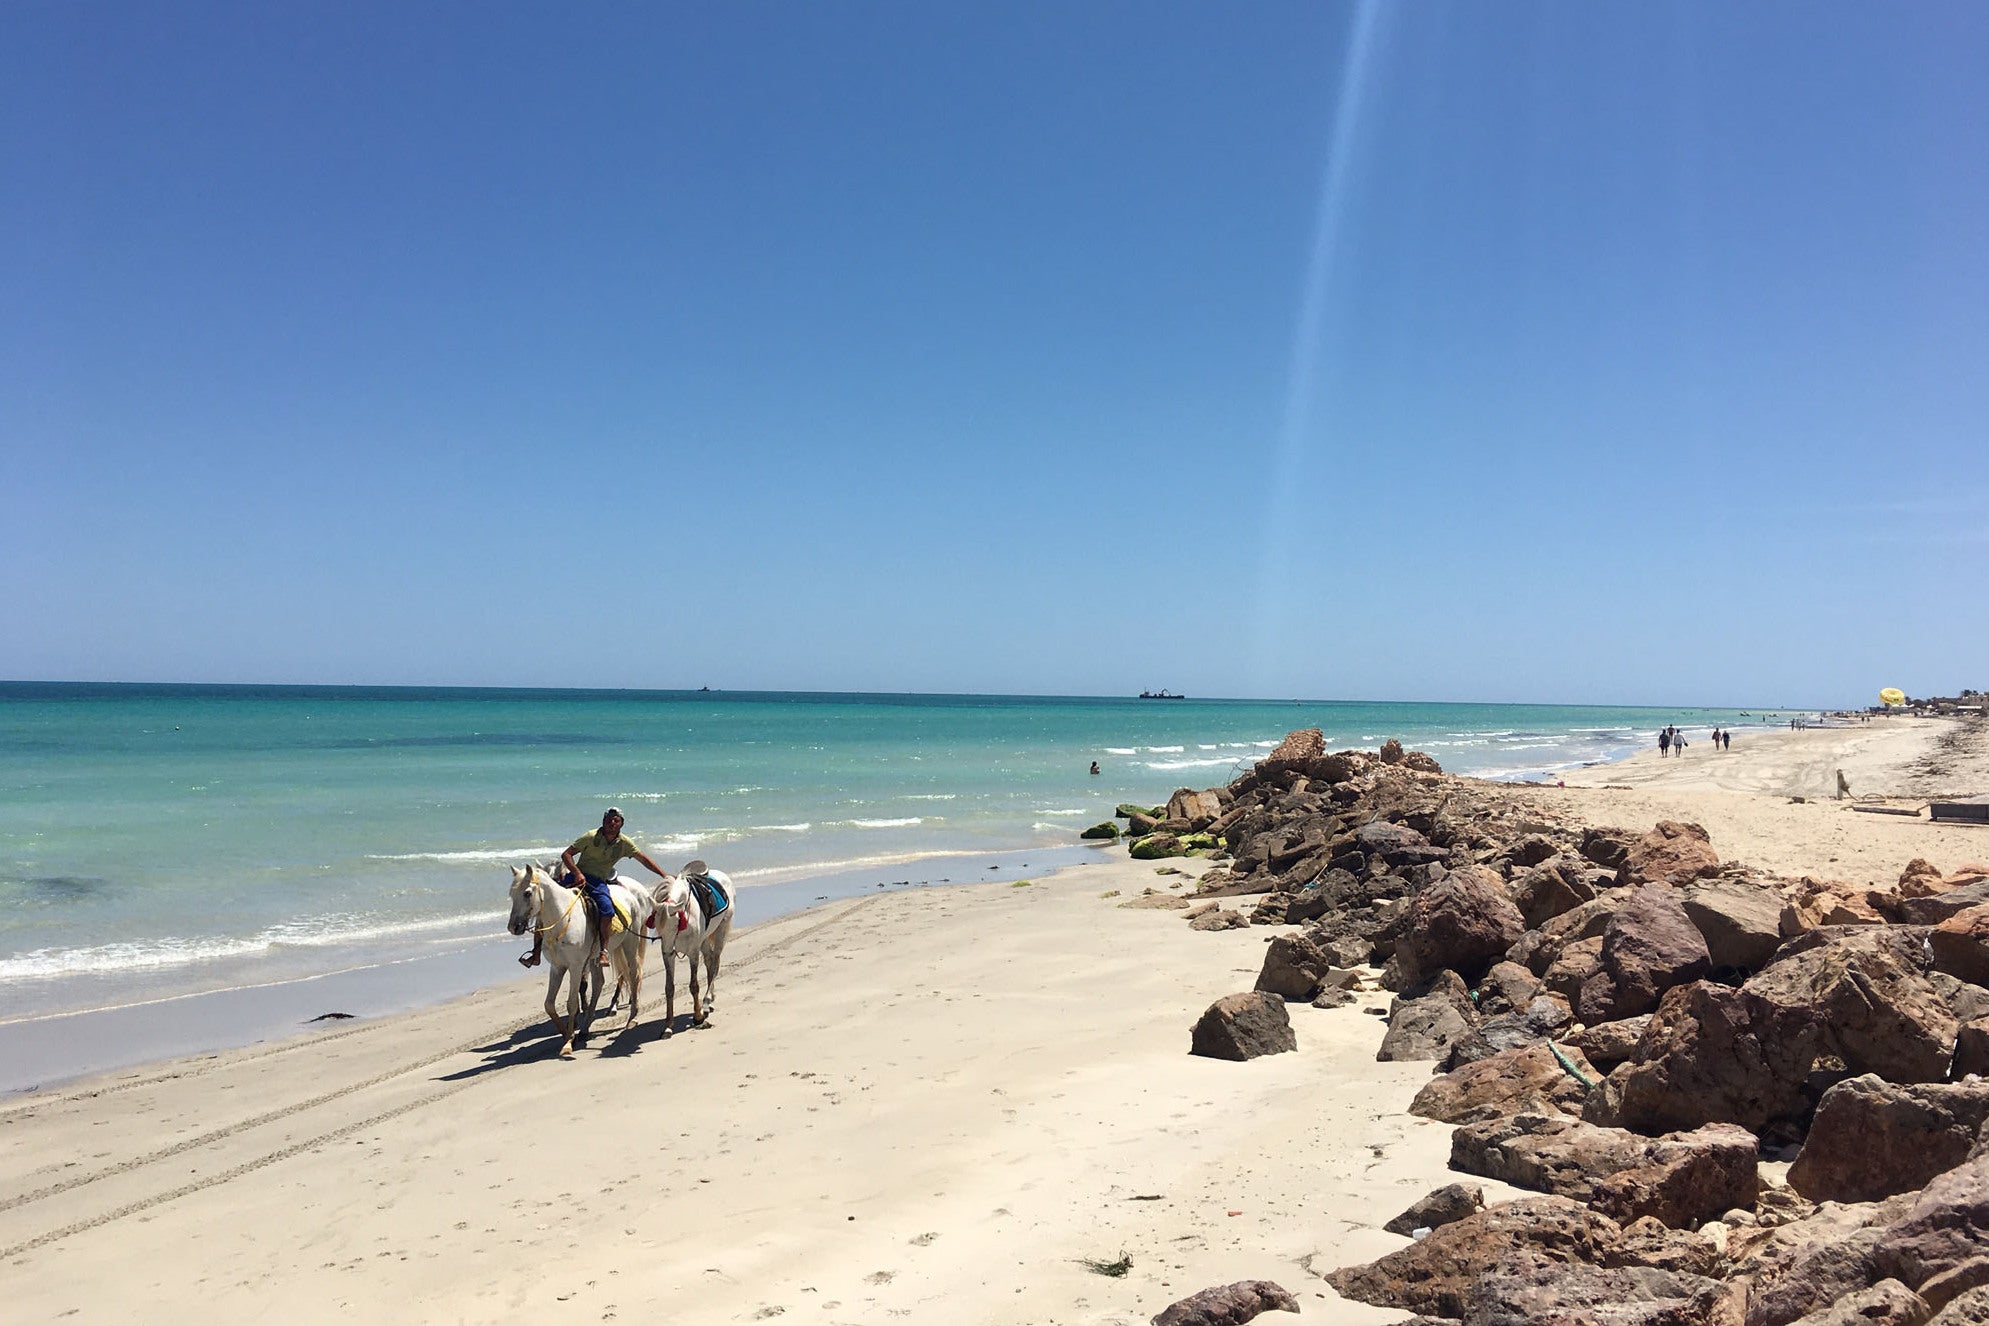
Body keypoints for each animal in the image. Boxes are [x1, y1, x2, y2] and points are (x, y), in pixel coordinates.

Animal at [505, 862, 652, 1057]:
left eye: (527, 893)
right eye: (511, 893)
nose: (513, 927)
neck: (561, 919)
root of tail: (631, 894)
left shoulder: (575, 966)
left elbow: (572, 1003)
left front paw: (568, 1042)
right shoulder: (557, 967)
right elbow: (549, 1004)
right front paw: (568, 1033)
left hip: (629, 943)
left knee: (633, 974)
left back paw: (632, 1018)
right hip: (597, 956)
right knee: (599, 983)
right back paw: (585, 1028)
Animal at [652, 862, 739, 1033]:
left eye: (674, 925)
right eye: (658, 928)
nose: (667, 948)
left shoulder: (693, 952)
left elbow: (694, 985)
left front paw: (698, 1017)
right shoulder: (669, 956)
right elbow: (669, 988)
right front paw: (668, 1026)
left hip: (720, 931)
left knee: (715, 964)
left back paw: (706, 1002)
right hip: (704, 940)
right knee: (710, 962)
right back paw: (709, 1001)